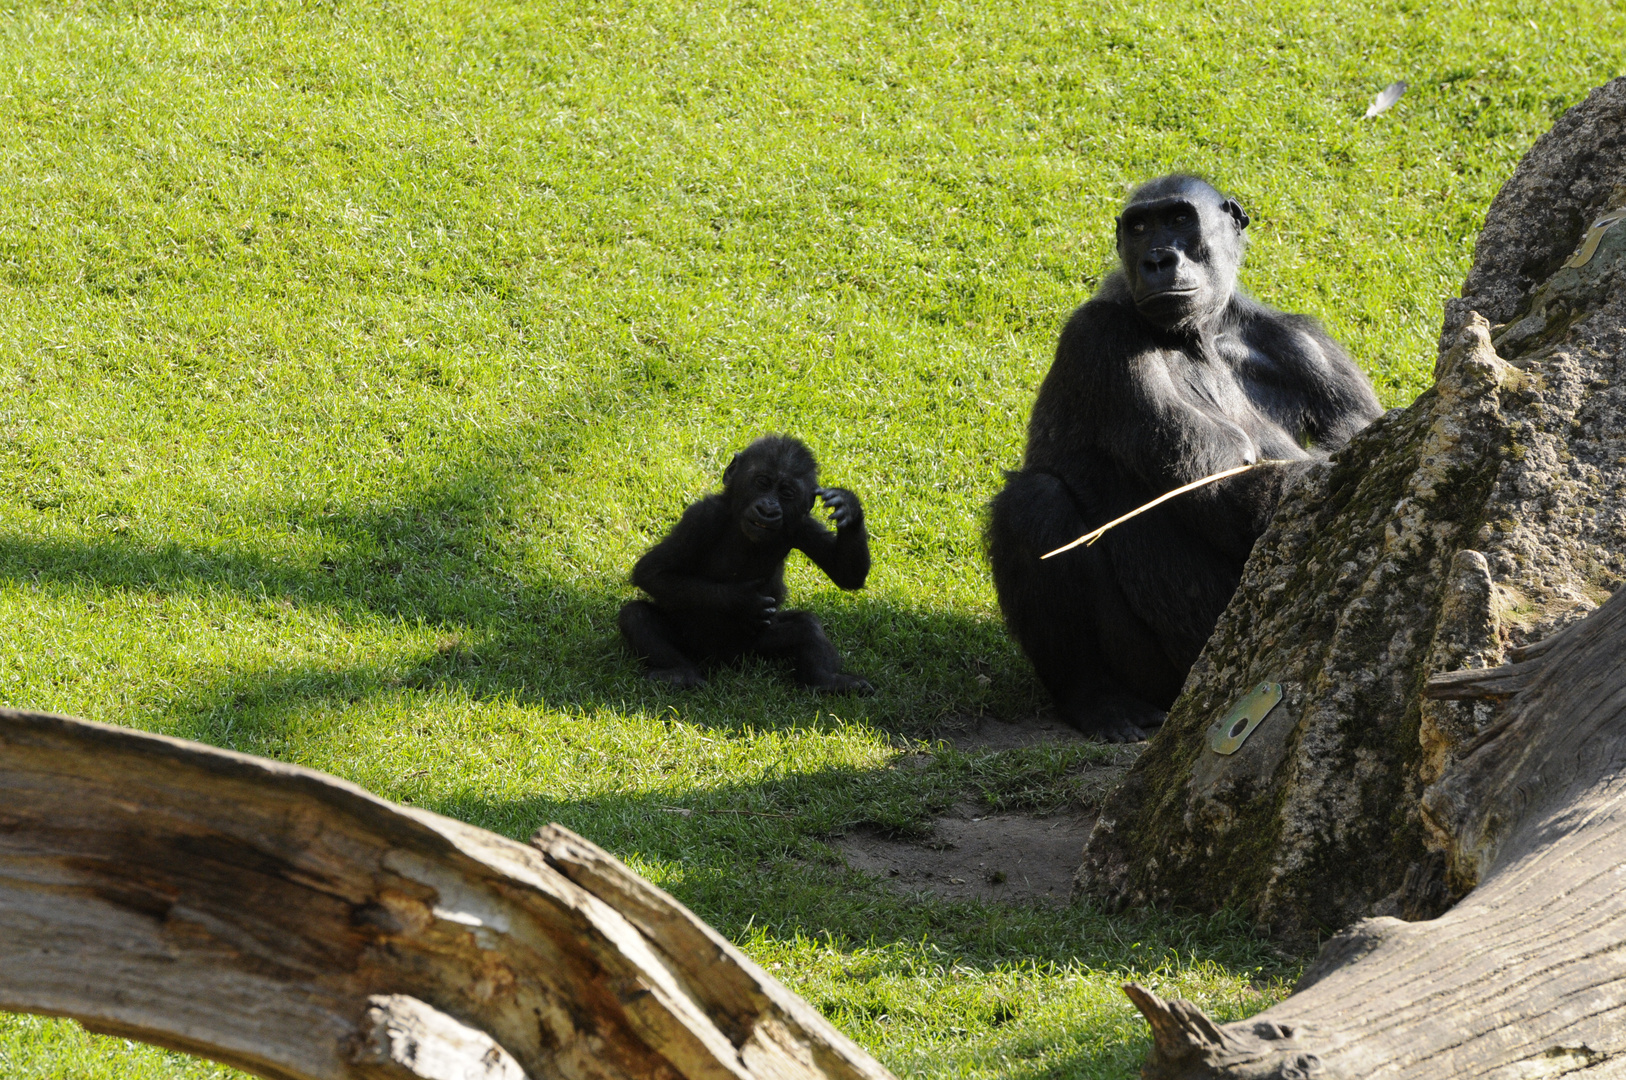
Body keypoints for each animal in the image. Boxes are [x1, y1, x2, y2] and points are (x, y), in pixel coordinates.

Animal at [614, 435, 871, 692]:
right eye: (762, 483)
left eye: (786, 493)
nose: (768, 507)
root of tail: (726, 661)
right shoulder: (702, 517)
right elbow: (653, 572)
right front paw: (742, 600)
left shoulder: (803, 526)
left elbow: (846, 574)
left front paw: (848, 507)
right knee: (636, 616)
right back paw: (681, 673)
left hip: (756, 647)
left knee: (807, 626)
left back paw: (826, 680)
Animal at [982, 174, 1378, 741]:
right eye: (1139, 228)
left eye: (1178, 220)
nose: (1156, 259)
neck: (1204, 333)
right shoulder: (1100, 336)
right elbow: (1223, 490)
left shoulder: (1307, 342)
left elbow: (1355, 438)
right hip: (1174, 674)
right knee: (1035, 499)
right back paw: (1094, 696)